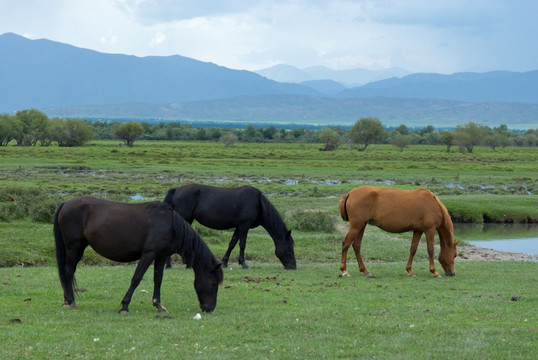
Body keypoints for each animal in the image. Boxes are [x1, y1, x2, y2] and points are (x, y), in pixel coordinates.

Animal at [52, 195, 222, 314]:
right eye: (214, 283)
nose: (210, 308)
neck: (170, 225)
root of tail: (66, 204)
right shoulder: (148, 254)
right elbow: (136, 279)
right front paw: (124, 306)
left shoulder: (161, 256)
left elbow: (158, 280)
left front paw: (158, 305)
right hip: (73, 246)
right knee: (69, 272)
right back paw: (72, 302)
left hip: (80, 247)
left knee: (69, 272)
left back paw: (67, 300)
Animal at [163, 184, 298, 268]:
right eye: (289, 248)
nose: (293, 266)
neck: (258, 202)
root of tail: (176, 189)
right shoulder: (244, 226)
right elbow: (242, 244)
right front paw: (243, 264)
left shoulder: (239, 227)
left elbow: (232, 243)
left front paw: (224, 262)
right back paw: (170, 264)